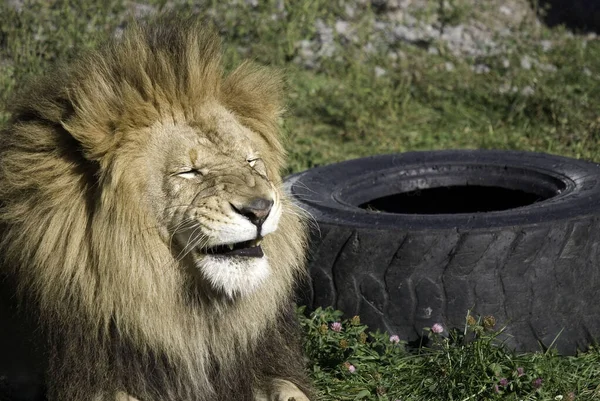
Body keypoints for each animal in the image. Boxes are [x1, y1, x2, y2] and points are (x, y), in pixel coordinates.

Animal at [0, 14, 316, 398]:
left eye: (252, 162)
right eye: (189, 172)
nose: (259, 209)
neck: (190, 315)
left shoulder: (259, 365)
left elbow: (290, 390)